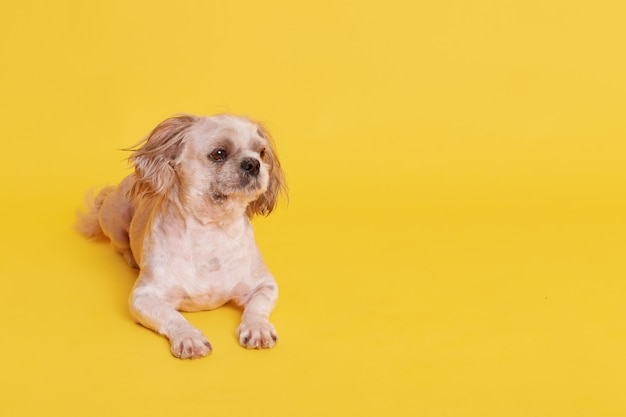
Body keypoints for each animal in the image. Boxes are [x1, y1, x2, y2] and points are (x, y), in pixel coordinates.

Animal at [75, 113, 286, 358]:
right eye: (219, 153)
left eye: (261, 152)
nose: (253, 163)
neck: (211, 230)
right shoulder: (143, 297)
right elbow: (172, 316)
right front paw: (189, 337)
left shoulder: (265, 285)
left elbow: (256, 307)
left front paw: (257, 328)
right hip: (115, 218)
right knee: (120, 245)